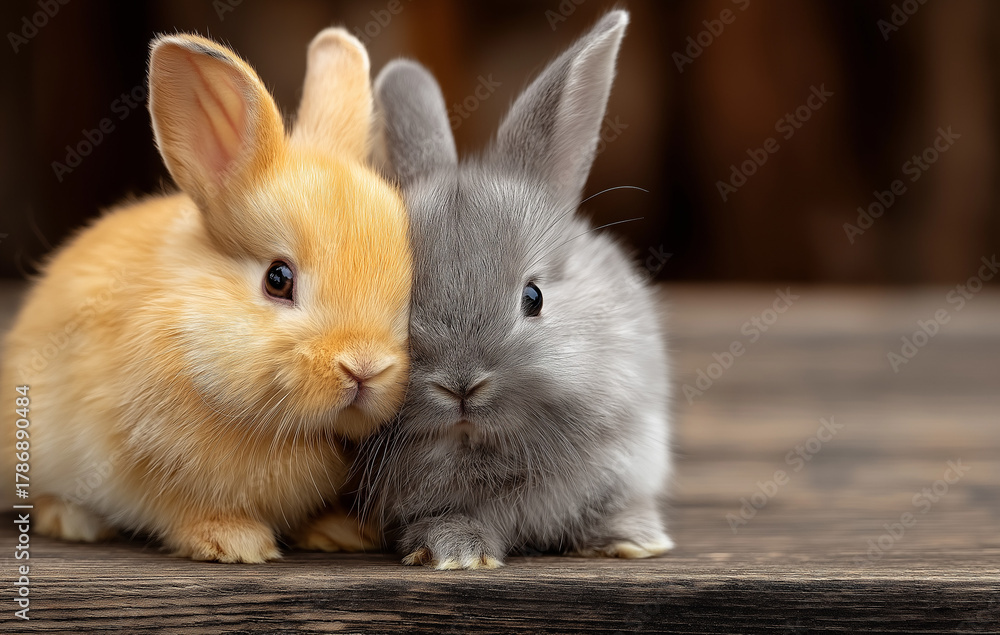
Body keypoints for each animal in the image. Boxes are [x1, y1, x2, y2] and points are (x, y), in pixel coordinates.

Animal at [0, 28, 412, 563]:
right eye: (278, 279)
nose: (364, 366)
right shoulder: (143, 465)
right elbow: (182, 511)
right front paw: (236, 543)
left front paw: (341, 534)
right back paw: (75, 522)